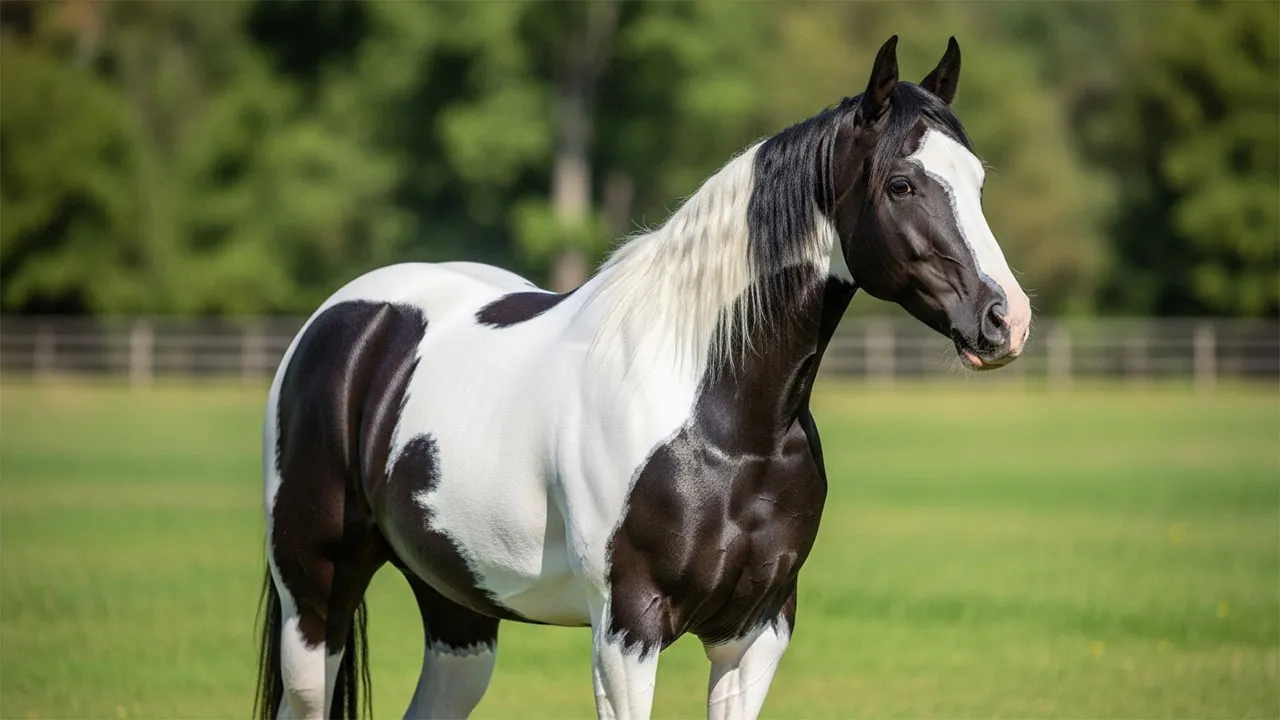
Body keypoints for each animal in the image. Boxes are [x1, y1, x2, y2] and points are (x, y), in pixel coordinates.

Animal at [254, 35, 1031, 720]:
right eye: (902, 183)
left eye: (978, 182)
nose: (1007, 319)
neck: (723, 424)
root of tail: (343, 319)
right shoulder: (627, 632)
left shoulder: (756, 632)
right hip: (314, 597)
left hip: (458, 610)